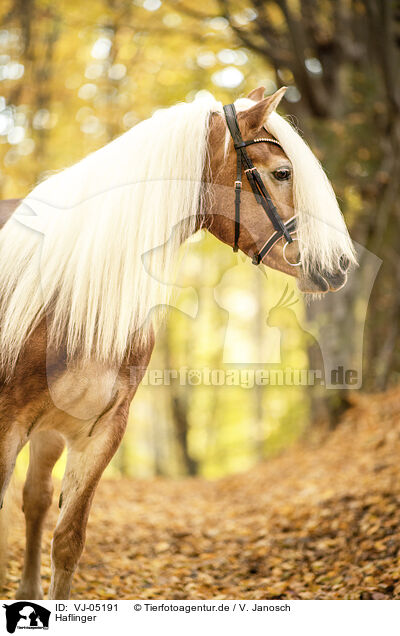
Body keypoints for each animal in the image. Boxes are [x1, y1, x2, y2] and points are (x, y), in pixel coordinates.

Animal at [0, 87, 356, 600]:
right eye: (282, 173)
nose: (340, 265)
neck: (72, 291)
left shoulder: (102, 431)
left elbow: (67, 542)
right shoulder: (8, 426)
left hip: (50, 432)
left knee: (35, 500)